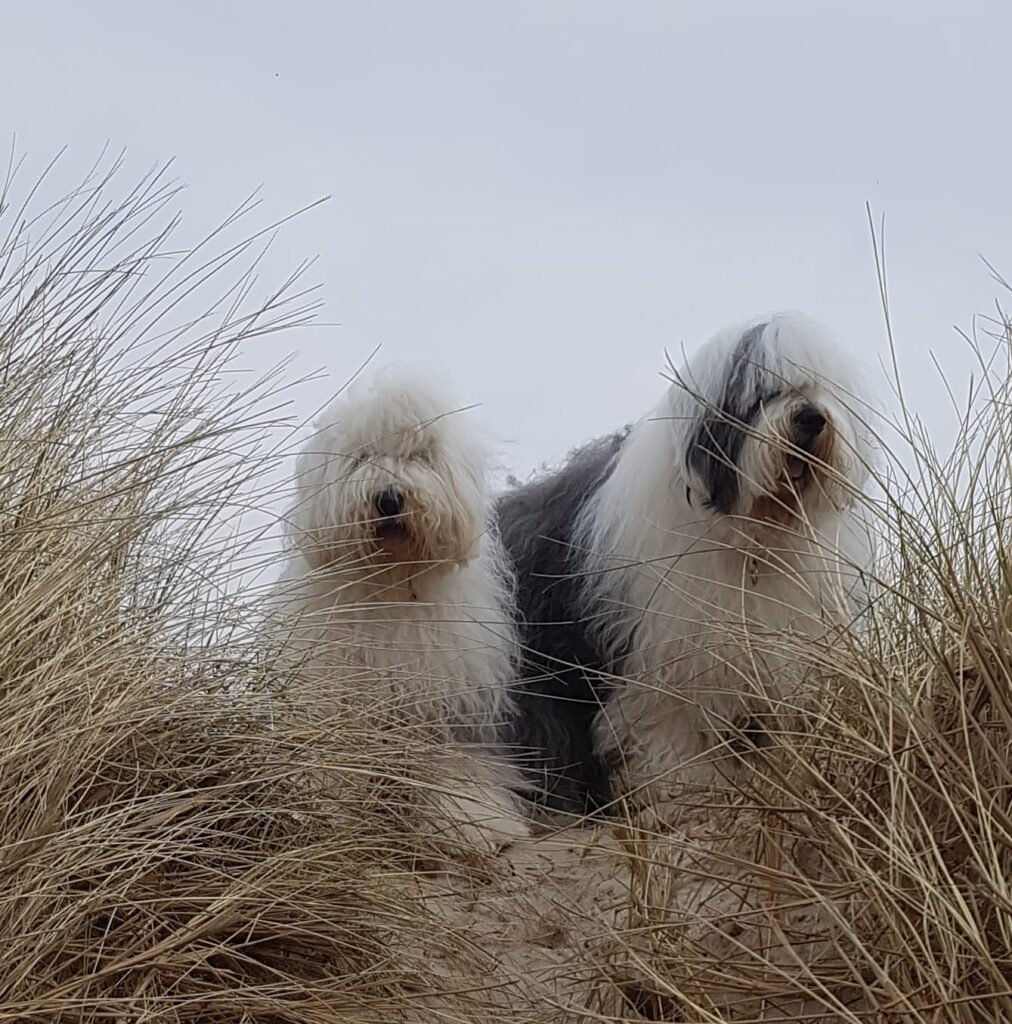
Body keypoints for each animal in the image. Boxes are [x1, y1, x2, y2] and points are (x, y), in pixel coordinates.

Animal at [270, 368, 528, 850]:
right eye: (362, 457)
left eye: (421, 456)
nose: (389, 498)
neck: (389, 587)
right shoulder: (337, 692)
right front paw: (318, 812)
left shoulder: (445, 697)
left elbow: (453, 765)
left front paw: (474, 822)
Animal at [499, 313, 875, 816]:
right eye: (759, 394)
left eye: (817, 386)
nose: (811, 418)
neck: (751, 538)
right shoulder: (663, 661)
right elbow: (670, 735)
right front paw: (687, 791)